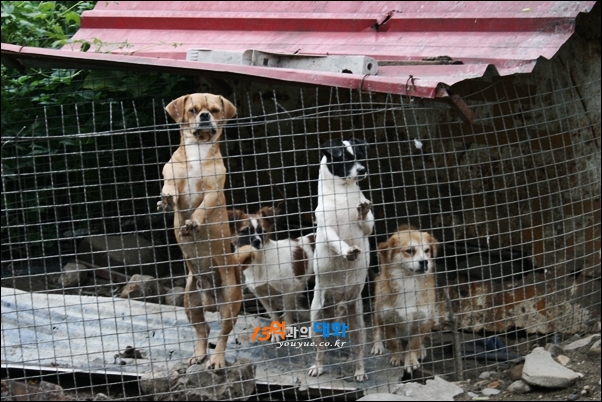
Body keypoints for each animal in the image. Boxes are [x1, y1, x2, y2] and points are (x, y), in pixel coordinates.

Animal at [157, 92, 241, 370]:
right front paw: (166, 202)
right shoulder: (173, 179)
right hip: (190, 302)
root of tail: (210, 299)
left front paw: (193, 222)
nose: (204, 116)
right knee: (202, 330)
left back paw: (216, 359)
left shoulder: (212, 191)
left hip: (230, 303)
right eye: (193, 110)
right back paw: (199, 354)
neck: (198, 149)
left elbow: (202, 208)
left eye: (214, 111)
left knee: (223, 334)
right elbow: (170, 190)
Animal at [227, 207, 316, 342]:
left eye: (262, 231)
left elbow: (288, 313)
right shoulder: (262, 296)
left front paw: (288, 330)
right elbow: (273, 316)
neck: (260, 263)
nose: (257, 241)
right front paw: (276, 333)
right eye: (245, 231)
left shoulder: (289, 291)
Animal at [308, 138, 372, 384]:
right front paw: (348, 252)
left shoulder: (368, 228)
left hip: (358, 325)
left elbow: (366, 220)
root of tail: (339, 304)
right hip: (316, 322)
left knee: (359, 350)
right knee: (320, 350)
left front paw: (362, 210)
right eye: (344, 158)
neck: (343, 193)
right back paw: (317, 367)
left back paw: (360, 371)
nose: (363, 170)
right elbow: (337, 242)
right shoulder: (327, 231)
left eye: (361, 155)